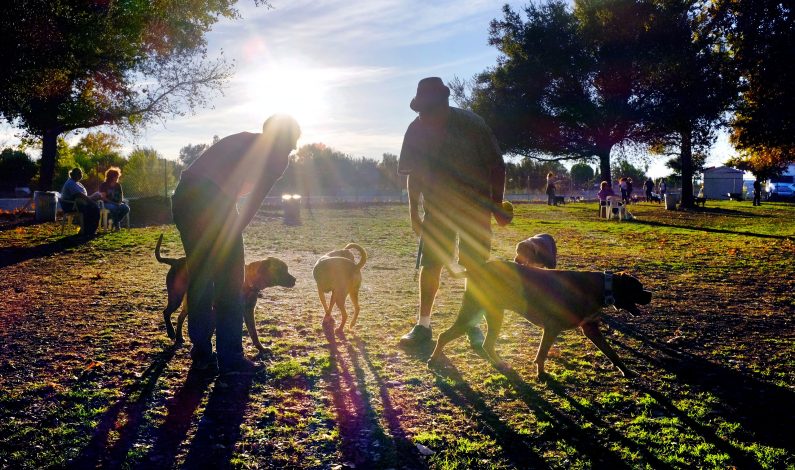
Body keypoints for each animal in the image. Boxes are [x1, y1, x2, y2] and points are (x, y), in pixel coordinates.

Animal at [154, 234, 296, 352]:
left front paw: (261, 348)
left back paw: (179, 337)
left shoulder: (248, 311)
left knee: (180, 317)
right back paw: (171, 333)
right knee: (166, 312)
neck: (248, 281)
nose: (295, 280)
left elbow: (254, 333)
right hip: (176, 296)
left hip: (190, 301)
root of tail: (175, 261)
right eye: (281, 270)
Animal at [430, 262, 652, 380]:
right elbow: (542, 353)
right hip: (475, 314)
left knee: (480, 343)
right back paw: (434, 359)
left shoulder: (590, 329)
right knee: (447, 336)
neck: (602, 287)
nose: (650, 295)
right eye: (639, 288)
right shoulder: (552, 328)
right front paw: (541, 373)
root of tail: (475, 268)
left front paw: (625, 370)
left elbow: (611, 352)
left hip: (488, 315)